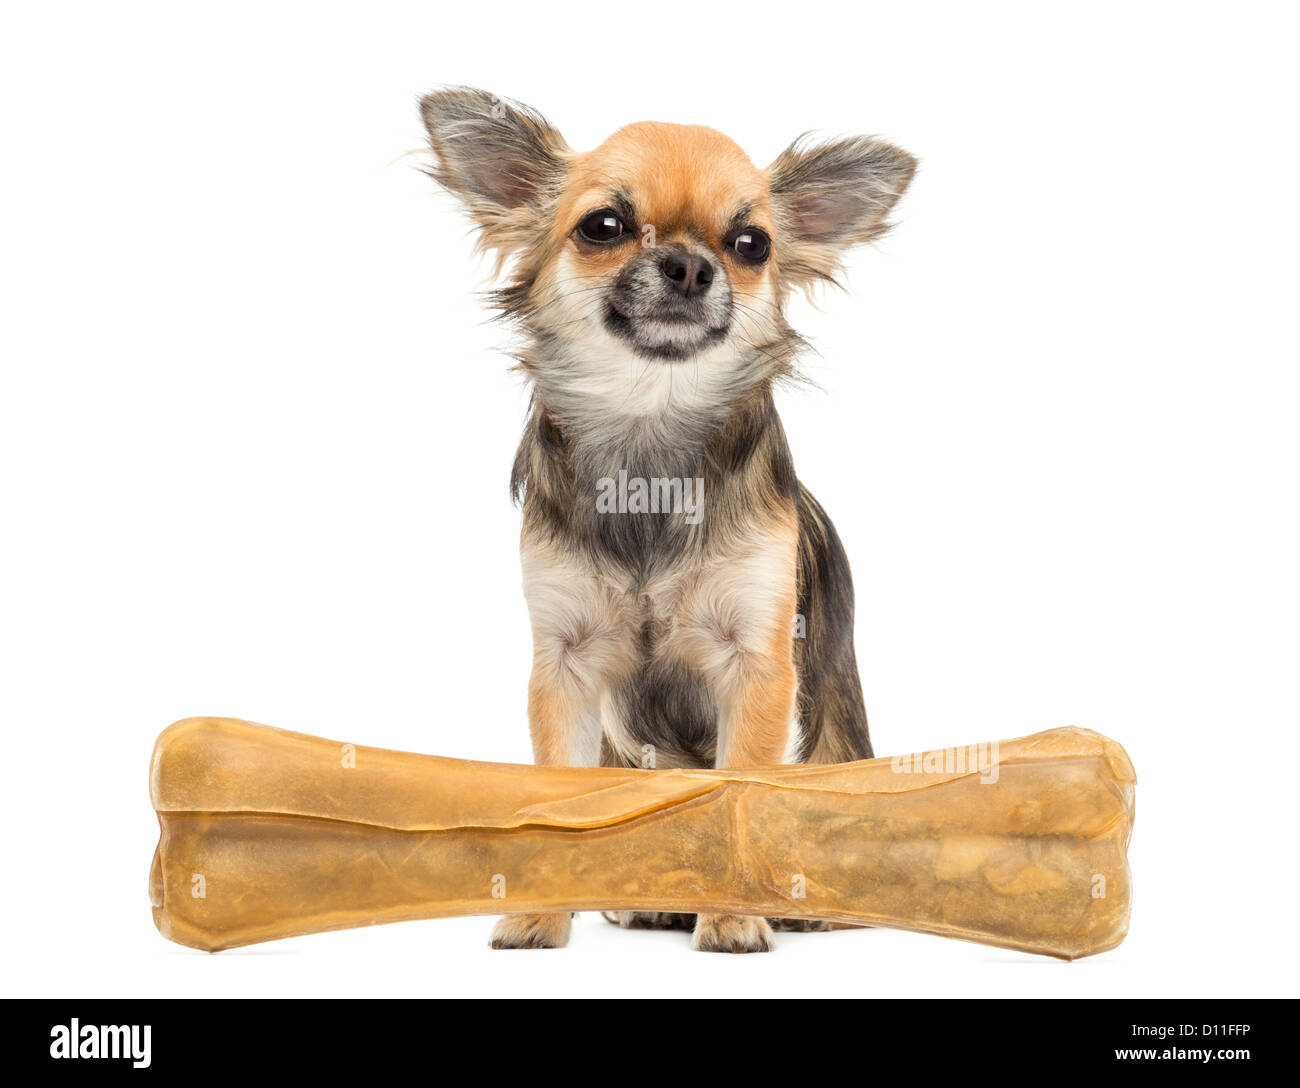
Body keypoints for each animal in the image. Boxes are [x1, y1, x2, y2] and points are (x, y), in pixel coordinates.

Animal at [418, 87, 915, 951]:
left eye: (752, 244)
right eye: (603, 226)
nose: (689, 264)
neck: (649, 438)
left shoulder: (757, 663)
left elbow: (741, 794)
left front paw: (735, 918)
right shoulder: (566, 664)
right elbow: (560, 792)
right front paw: (541, 914)